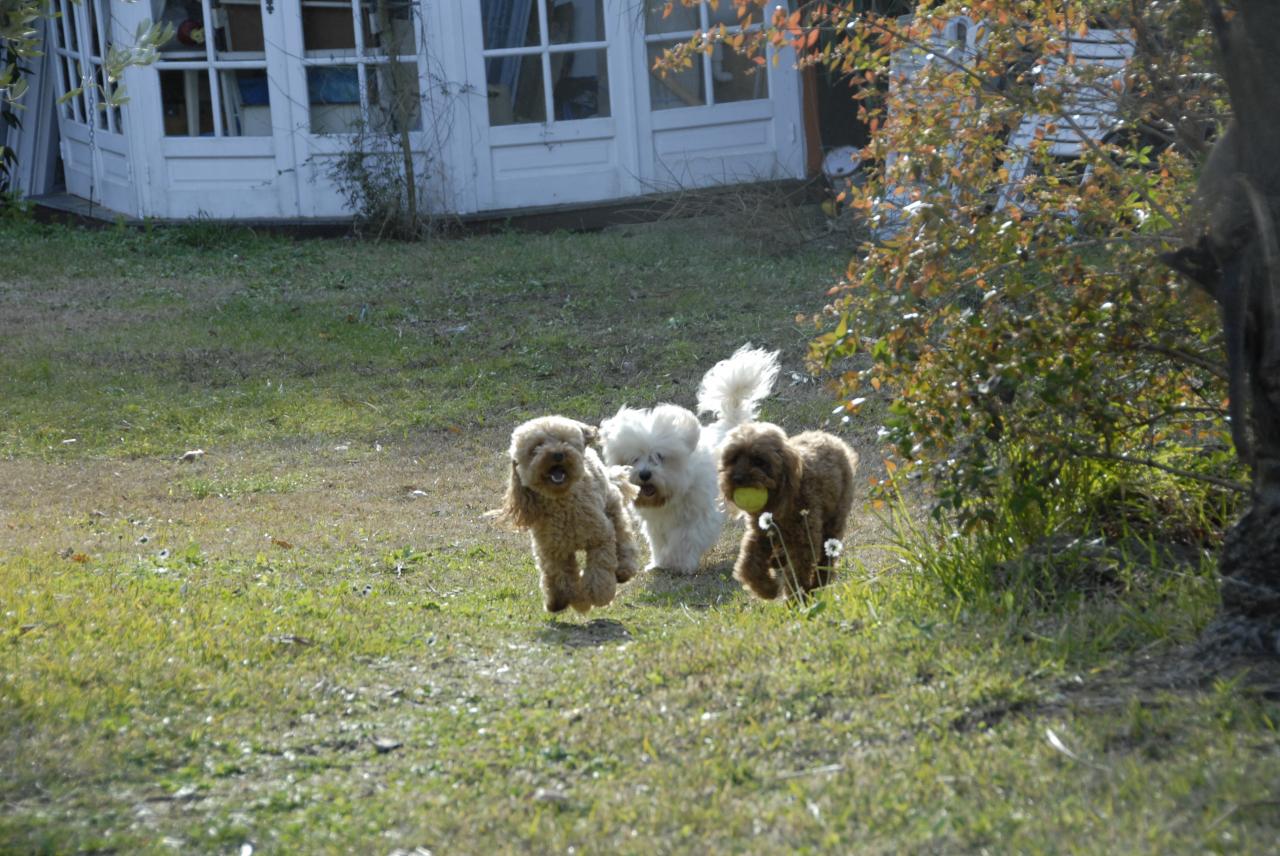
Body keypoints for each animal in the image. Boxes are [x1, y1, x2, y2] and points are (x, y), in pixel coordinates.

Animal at [499, 414, 640, 611]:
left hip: (611, 505)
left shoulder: (600, 537)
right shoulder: (553, 550)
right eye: (537, 447)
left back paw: (624, 570)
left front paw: (598, 594)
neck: (563, 505)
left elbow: (600, 568)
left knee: (623, 535)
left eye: (564, 441)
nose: (558, 454)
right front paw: (570, 600)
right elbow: (561, 576)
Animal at [599, 342, 778, 570]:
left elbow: (686, 538)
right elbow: (659, 541)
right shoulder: (656, 522)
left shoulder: (698, 516)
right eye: (634, 459)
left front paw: (679, 563)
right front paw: (660, 562)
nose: (645, 475)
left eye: (659, 456)